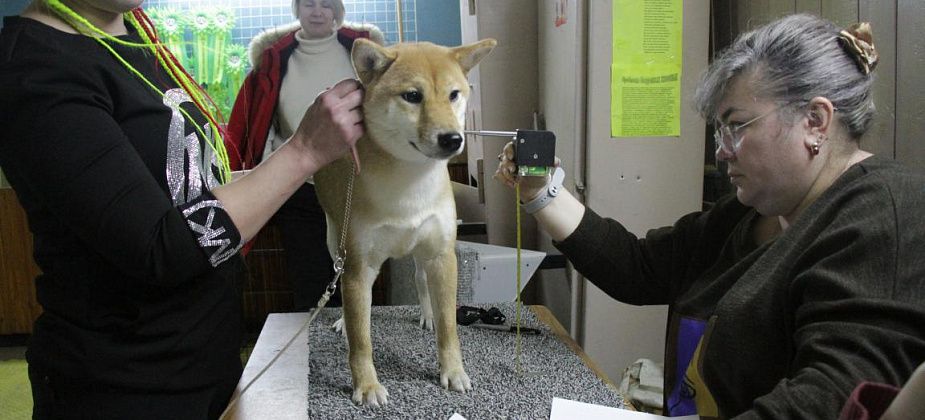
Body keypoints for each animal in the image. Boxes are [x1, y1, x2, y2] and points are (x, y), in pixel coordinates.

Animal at [310, 37, 494, 406]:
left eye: (454, 94)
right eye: (412, 96)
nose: (453, 139)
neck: (410, 183)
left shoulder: (442, 255)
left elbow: (450, 328)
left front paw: (453, 371)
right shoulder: (358, 267)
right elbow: (361, 338)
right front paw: (366, 385)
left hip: (422, 251)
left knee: (420, 279)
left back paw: (427, 314)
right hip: (336, 241)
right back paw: (343, 322)